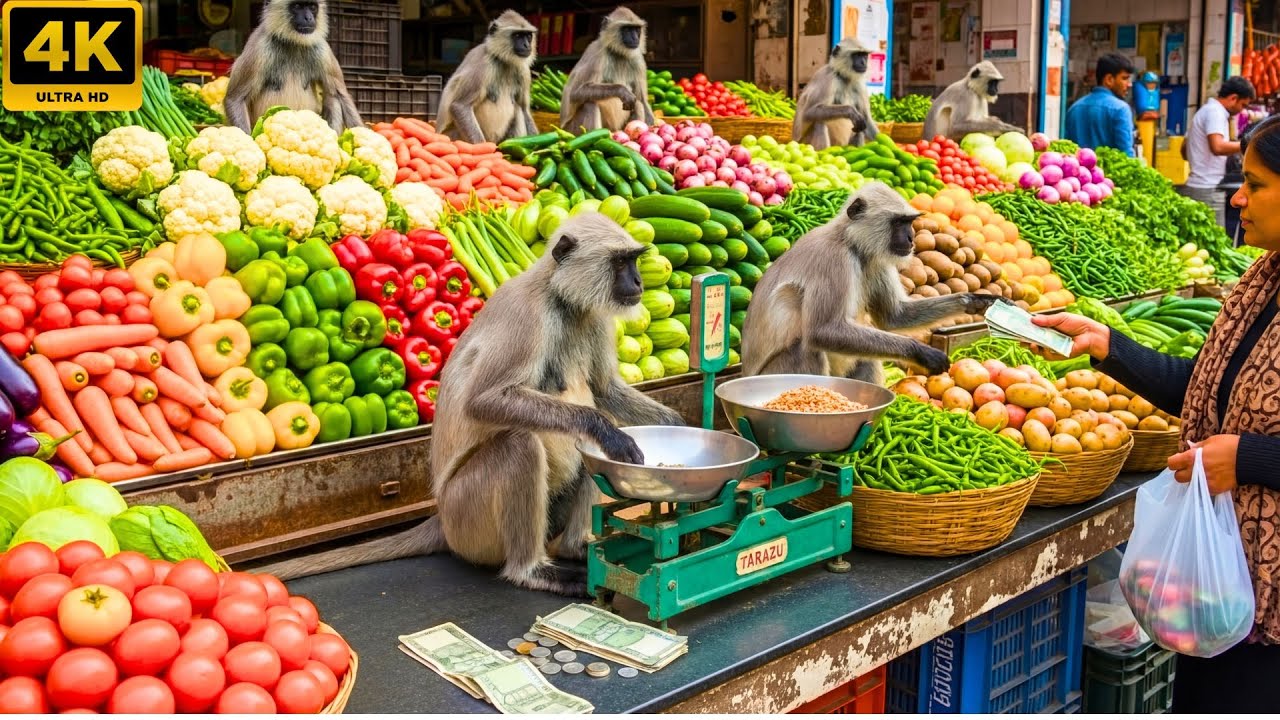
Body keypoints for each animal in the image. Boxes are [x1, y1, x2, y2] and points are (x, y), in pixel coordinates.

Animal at [223, 0, 362, 134]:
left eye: (312, 7)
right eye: (297, 6)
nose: (308, 18)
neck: (293, 42)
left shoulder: (322, 49)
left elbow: (341, 95)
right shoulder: (259, 47)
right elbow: (235, 99)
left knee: (333, 96)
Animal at [254, 214, 685, 596]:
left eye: (633, 260)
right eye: (621, 262)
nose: (638, 281)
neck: (561, 300)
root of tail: (442, 518)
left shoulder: (593, 316)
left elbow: (604, 389)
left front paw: (683, 427)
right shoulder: (527, 314)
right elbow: (485, 402)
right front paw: (606, 429)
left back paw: (576, 548)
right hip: (468, 517)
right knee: (520, 445)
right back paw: (532, 571)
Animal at [435, 11, 538, 144]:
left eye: (528, 36)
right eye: (517, 35)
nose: (526, 45)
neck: (503, 61)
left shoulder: (524, 71)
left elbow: (525, 110)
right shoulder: (483, 63)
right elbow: (459, 106)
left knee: (519, 109)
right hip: (452, 136)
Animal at [740, 182, 1005, 386]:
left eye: (909, 222)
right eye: (898, 223)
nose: (911, 238)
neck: (850, 243)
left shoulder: (876, 261)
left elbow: (895, 317)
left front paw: (978, 301)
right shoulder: (834, 259)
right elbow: (822, 331)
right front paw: (921, 353)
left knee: (867, 356)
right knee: (806, 346)